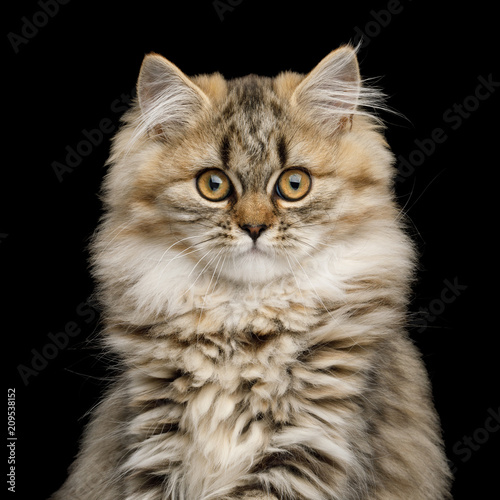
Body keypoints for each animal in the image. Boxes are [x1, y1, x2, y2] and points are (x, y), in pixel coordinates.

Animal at [50, 45, 454, 498]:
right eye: (213, 185)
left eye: (294, 184)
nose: (255, 227)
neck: (242, 321)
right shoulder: (151, 441)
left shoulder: (309, 447)